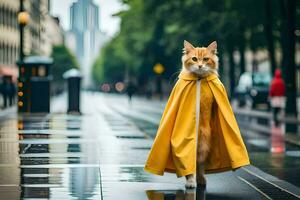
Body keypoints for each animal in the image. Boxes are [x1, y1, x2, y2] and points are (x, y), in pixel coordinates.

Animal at [182, 40, 219, 188]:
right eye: (194, 59)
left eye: (206, 59)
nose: (199, 65)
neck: (198, 79)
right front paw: (191, 180)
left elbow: (200, 163)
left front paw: (199, 178)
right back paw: (191, 181)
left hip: (204, 140)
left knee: (200, 162)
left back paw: (201, 179)